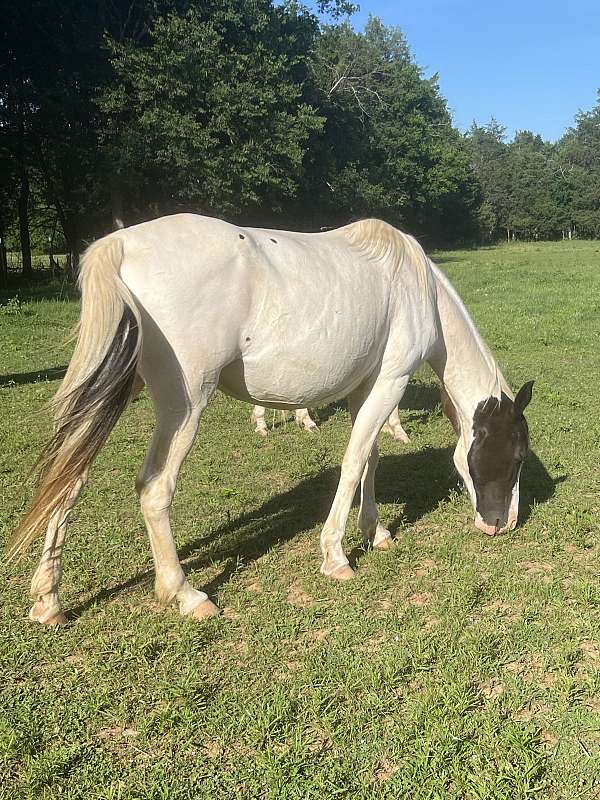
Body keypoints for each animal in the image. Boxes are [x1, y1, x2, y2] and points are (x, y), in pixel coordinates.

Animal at [7, 214, 533, 625]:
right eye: (515, 456)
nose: (501, 524)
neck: (415, 282)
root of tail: (121, 244)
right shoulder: (391, 382)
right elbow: (353, 462)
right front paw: (336, 556)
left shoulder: (367, 387)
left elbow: (371, 459)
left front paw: (375, 532)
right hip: (184, 406)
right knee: (153, 489)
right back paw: (184, 592)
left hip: (115, 390)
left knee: (69, 477)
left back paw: (48, 600)